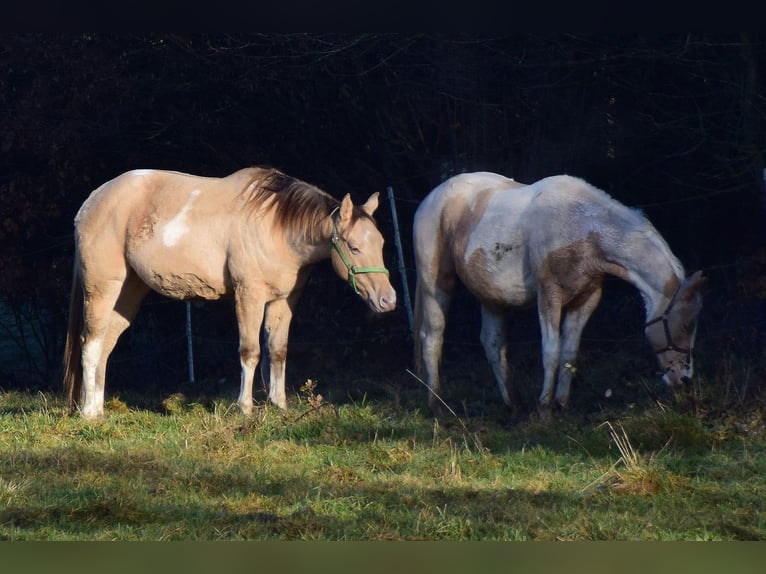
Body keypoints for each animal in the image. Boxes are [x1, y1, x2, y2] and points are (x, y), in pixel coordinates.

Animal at [63, 165, 400, 418]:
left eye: (381, 243)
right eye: (354, 247)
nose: (388, 300)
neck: (276, 226)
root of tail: (91, 202)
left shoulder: (283, 301)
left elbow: (278, 351)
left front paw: (279, 406)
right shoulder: (248, 296)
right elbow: (250, 352)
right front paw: (246, 407)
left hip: (128, 294)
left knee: (105, 345)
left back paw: (98, 408)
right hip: (102, 288)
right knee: (91, 343)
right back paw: (89, 414)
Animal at [416, 171, 704, 418]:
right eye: (687, 325)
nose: (683, 380)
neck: (583, 230)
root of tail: (430, 199)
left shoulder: (586, 300)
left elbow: (569, 352)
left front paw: (562, 404)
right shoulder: (549, 297)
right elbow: (551, 352)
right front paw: (545, 409)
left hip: (491, 297)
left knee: (492, 343)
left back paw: (513, 405)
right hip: (436, 287)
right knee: (432, 338)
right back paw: (437, 405)